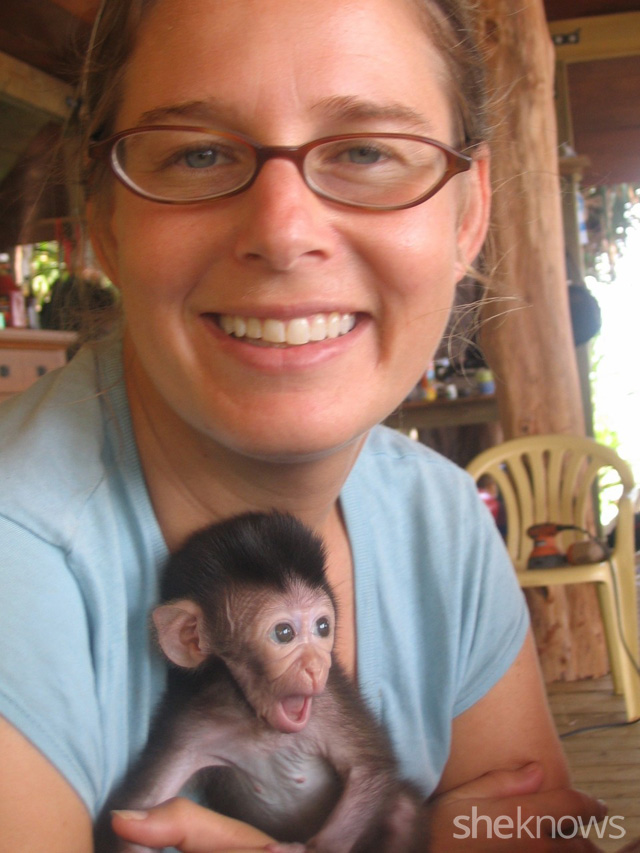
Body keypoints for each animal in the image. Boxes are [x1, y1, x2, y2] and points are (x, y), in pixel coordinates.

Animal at [94, 511, 423, 853]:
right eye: (284, 633)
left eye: (322, 627)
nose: (316, 666)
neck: (259, 725)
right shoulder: (191, 725)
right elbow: (137, 813)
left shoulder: (330, 704)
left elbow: (369, 769)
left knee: (403, 810)